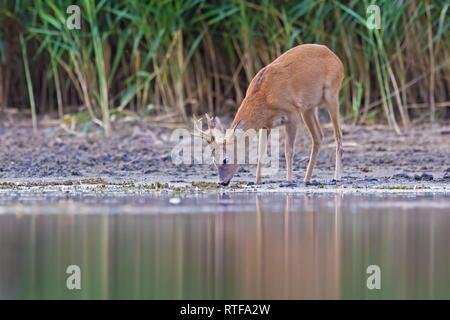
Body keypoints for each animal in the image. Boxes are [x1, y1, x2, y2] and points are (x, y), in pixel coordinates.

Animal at [193, 43, 344, 186]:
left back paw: (336, 177)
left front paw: (289, 180)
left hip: (332, 93)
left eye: (225, 159)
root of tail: (336, 57)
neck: (264, 97)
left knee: (337, 135)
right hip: (309, 107)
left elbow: (288, 150)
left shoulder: (292, 112)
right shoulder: (266, 125)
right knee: (318, 136)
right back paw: (307, 179)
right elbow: (261, 151)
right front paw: (257, 181)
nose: (222, 182)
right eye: (214, 160)